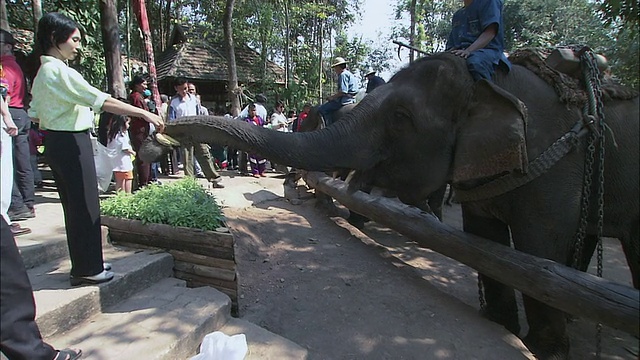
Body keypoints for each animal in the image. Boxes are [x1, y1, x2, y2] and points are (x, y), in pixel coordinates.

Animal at [141, 52, 640, 358]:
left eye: (401, 118)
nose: (158, 134)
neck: (488, 82)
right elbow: (487, 244)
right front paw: (501, 326)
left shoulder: (556, 165)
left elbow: (541, 251)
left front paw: (543, 348)